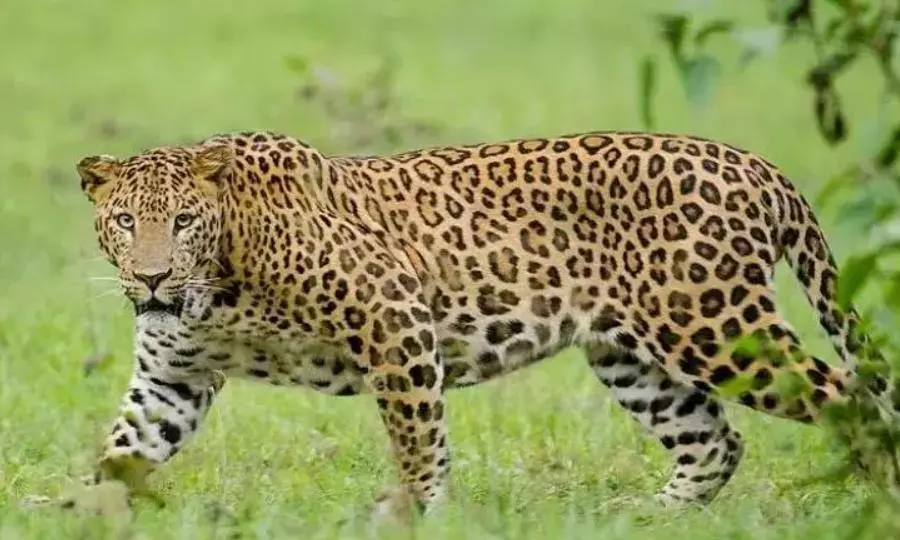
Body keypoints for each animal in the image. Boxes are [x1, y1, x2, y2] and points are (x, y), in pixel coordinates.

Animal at [55, 129, 895, 519]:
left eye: (183, 221)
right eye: (126, 222)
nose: (152, 277)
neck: (218, 283)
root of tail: (756, 165)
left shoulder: (393, 317)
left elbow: (417, 438)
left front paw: (414, 514)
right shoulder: (172, 378)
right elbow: (123, 451)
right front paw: (78, 514)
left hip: (714, 326)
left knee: (852, 398)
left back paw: (869, 501)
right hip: (631, 355)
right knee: (714, 440)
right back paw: (652, 520)